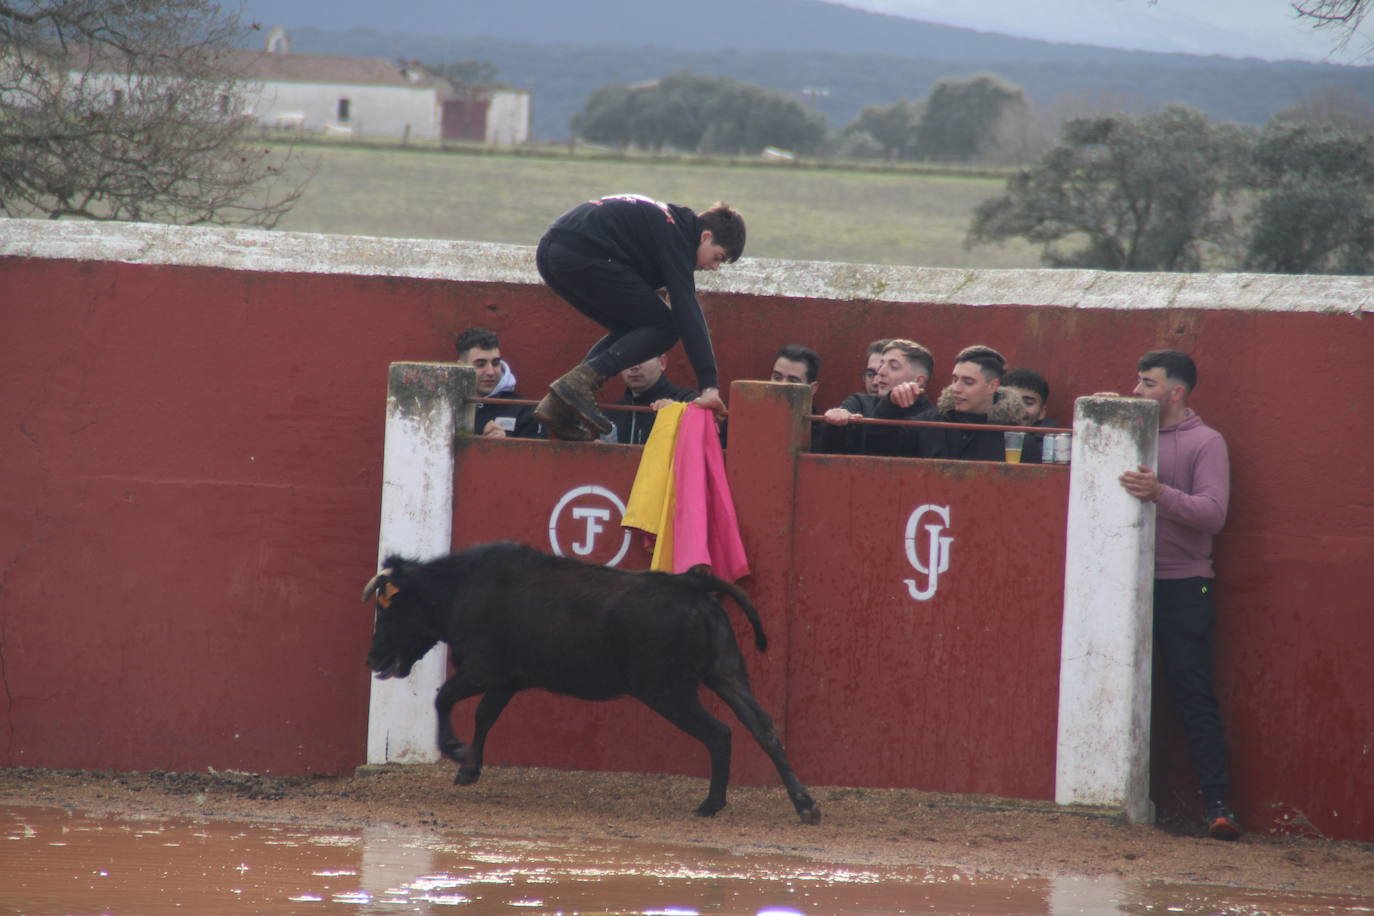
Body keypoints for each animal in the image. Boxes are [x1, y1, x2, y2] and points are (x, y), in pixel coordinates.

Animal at [359, 543, 818, 823]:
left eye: (389, 609)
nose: (373, 658)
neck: (462, 588)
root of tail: (687, 582)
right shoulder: (507, 679)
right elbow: (486, 714)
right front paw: (469, 767)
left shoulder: (483, 670)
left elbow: (444, 697)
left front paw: (457, 751)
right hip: (726, 673)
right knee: (764, 728)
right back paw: (805, 805)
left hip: (667, 690)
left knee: (719, 732)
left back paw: (711, 803)